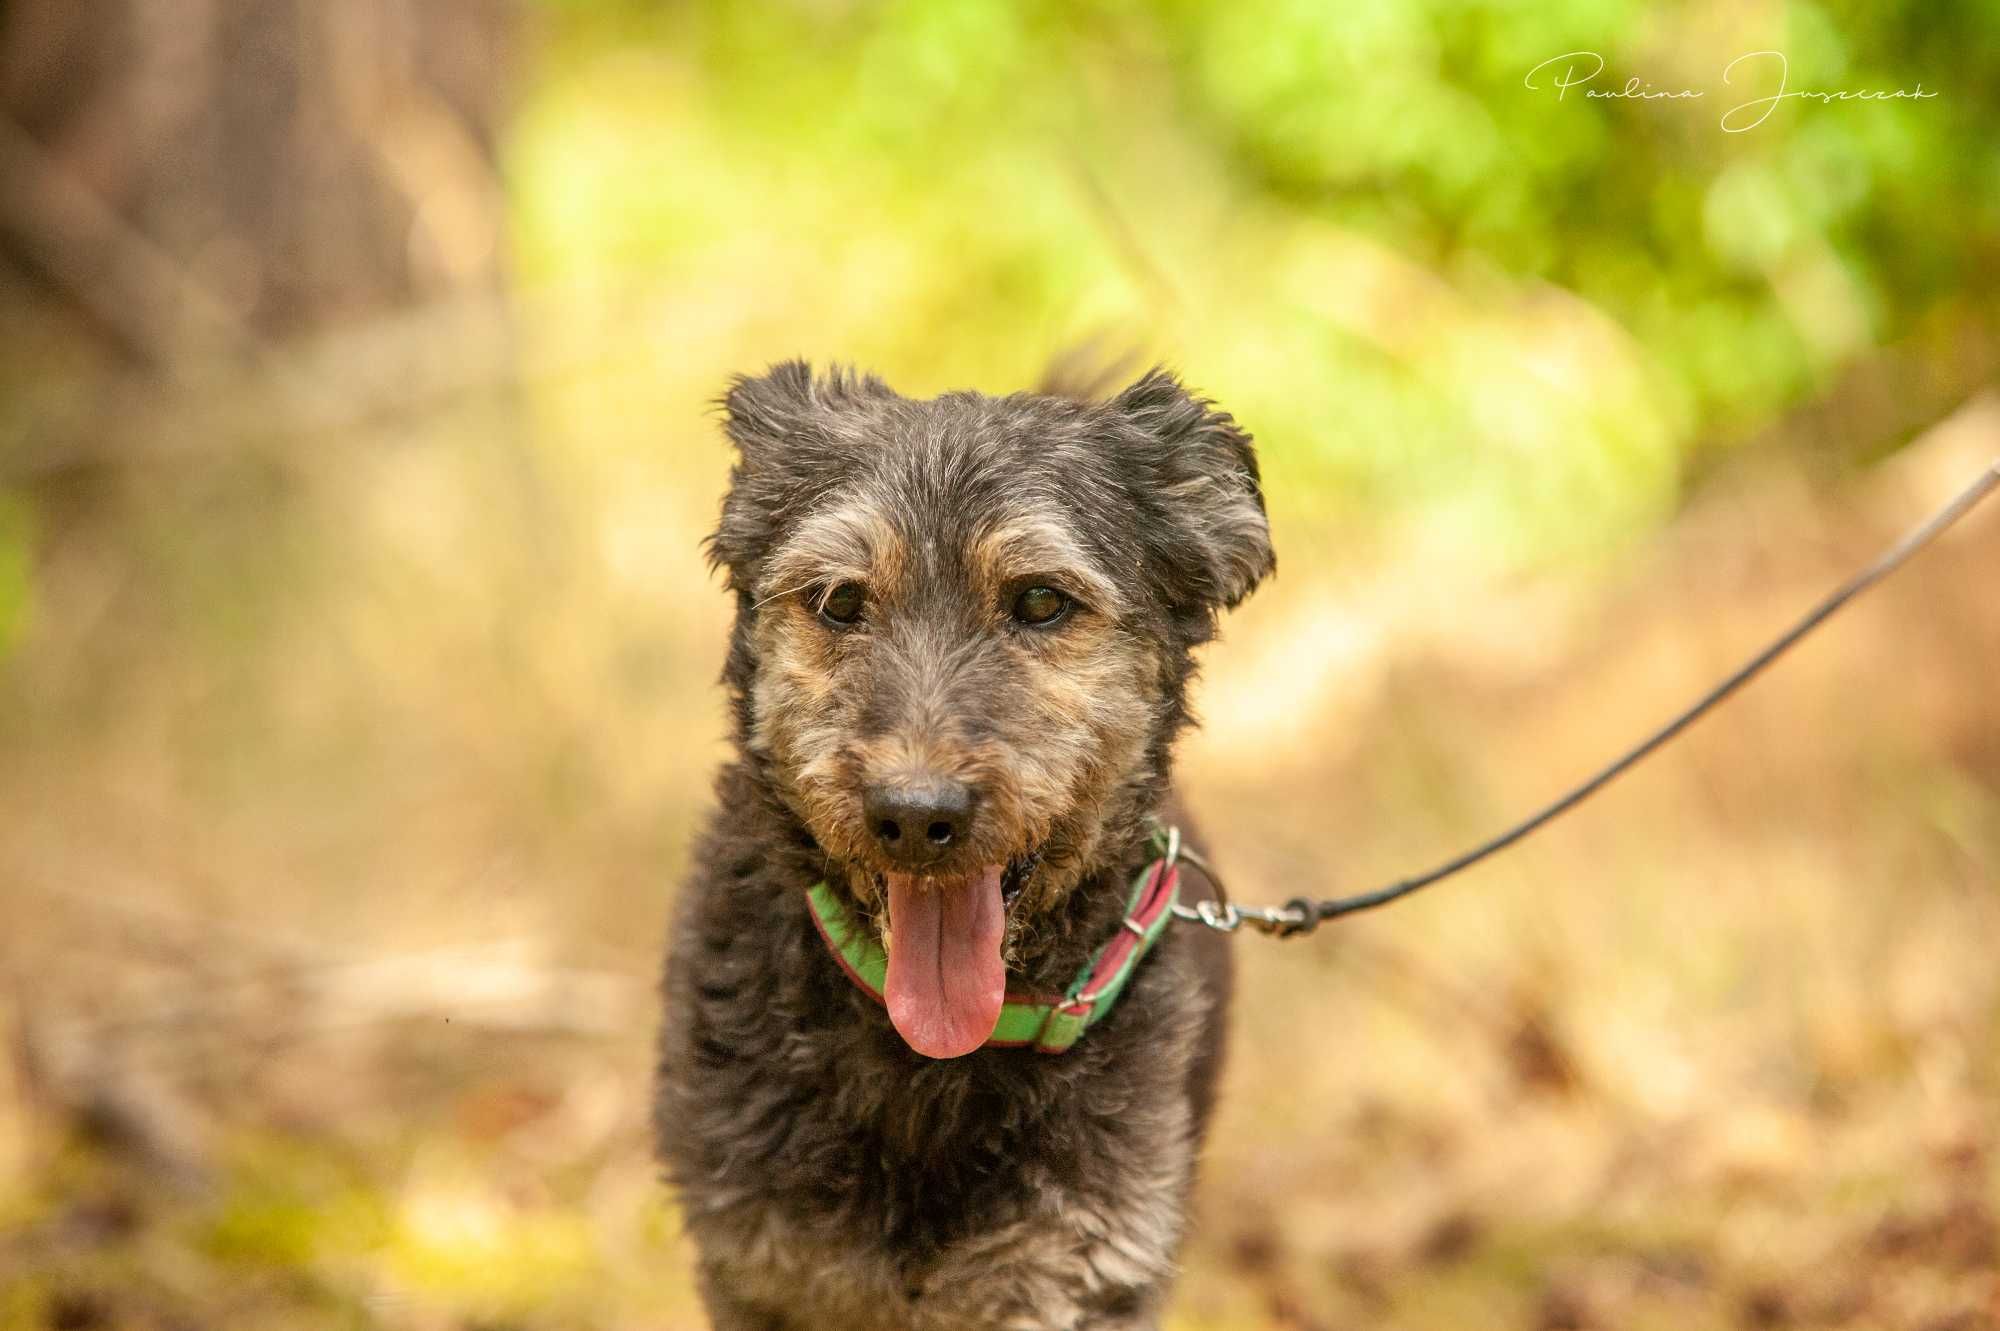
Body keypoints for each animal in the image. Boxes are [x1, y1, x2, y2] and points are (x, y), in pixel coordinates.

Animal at [660, 363, 1280, 1327]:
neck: (931, 1059)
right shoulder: (765, 1272)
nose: (916, 814)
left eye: (1041, 600)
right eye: (839, 600)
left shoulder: (1068, 1272)